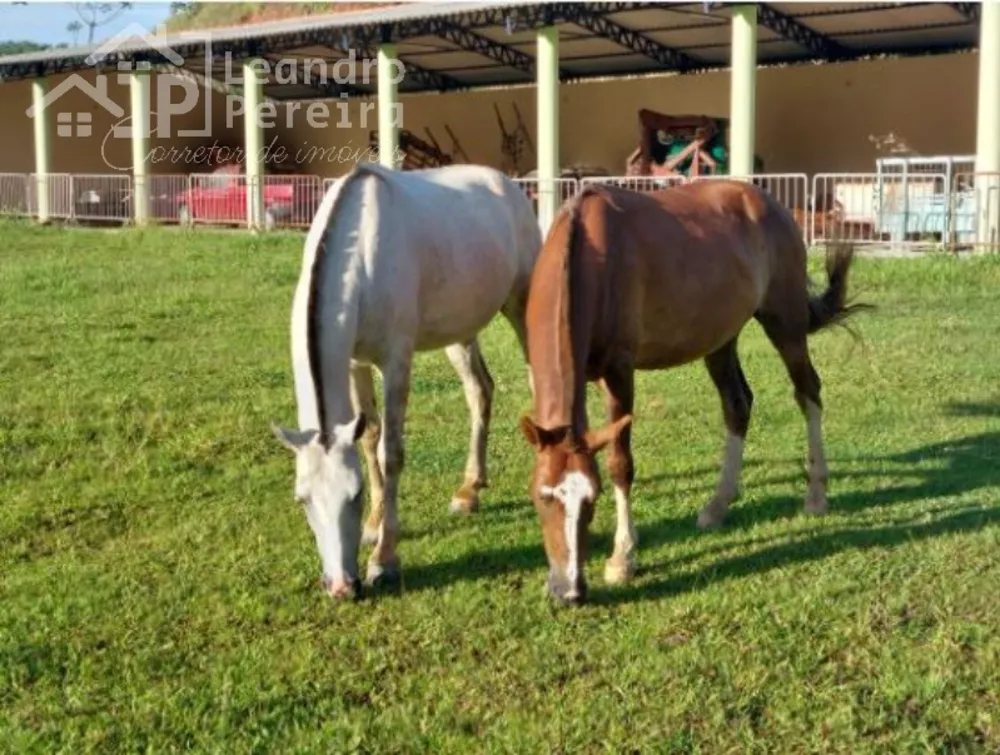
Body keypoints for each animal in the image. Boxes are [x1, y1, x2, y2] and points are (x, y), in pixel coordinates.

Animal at [272, 162, 540, 600]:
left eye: (354, 495)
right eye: (302, 499)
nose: (342, 586)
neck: (363, 252)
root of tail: (506, 183)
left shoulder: (396, 361)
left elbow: (391, 452)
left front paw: (384, 559)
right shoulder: (355, 363)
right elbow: (368, 437)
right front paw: (372, 526)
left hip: (521, 304)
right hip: (460, 330)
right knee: (480, 390)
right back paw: (469, 491)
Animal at [520, 179, 864, 604]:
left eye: (591, 497)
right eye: (542, 496)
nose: (569, 590)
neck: (589, 255)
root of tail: (774, 206)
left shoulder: (619, 372)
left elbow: (620, 463)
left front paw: (622, 558)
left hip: (785, 323)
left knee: (808, 393)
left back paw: (816, 495)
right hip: (720, 339)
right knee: (737, 404)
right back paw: (718, 505)